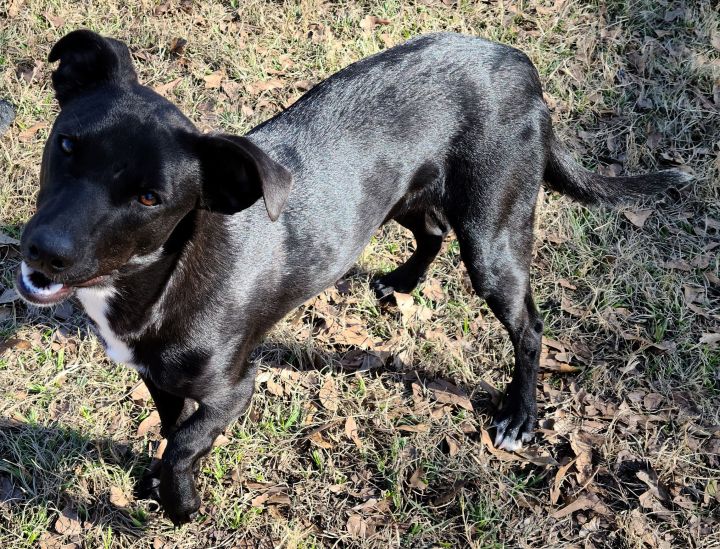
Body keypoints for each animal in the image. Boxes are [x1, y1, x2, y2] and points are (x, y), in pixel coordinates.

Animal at [12, 28, 688, 524]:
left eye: (151, 198)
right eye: (67, 145)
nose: (44, 251)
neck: (164, 274)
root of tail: (519, 63)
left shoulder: (234, 387)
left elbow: (184, 443)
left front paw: (179, 504)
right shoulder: (159, 375)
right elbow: (174, 429)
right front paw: (157, 484)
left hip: (493, 234)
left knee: (528, 327)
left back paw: (519, 416)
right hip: (406, 194)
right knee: (432, 231)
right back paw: (403, 282)